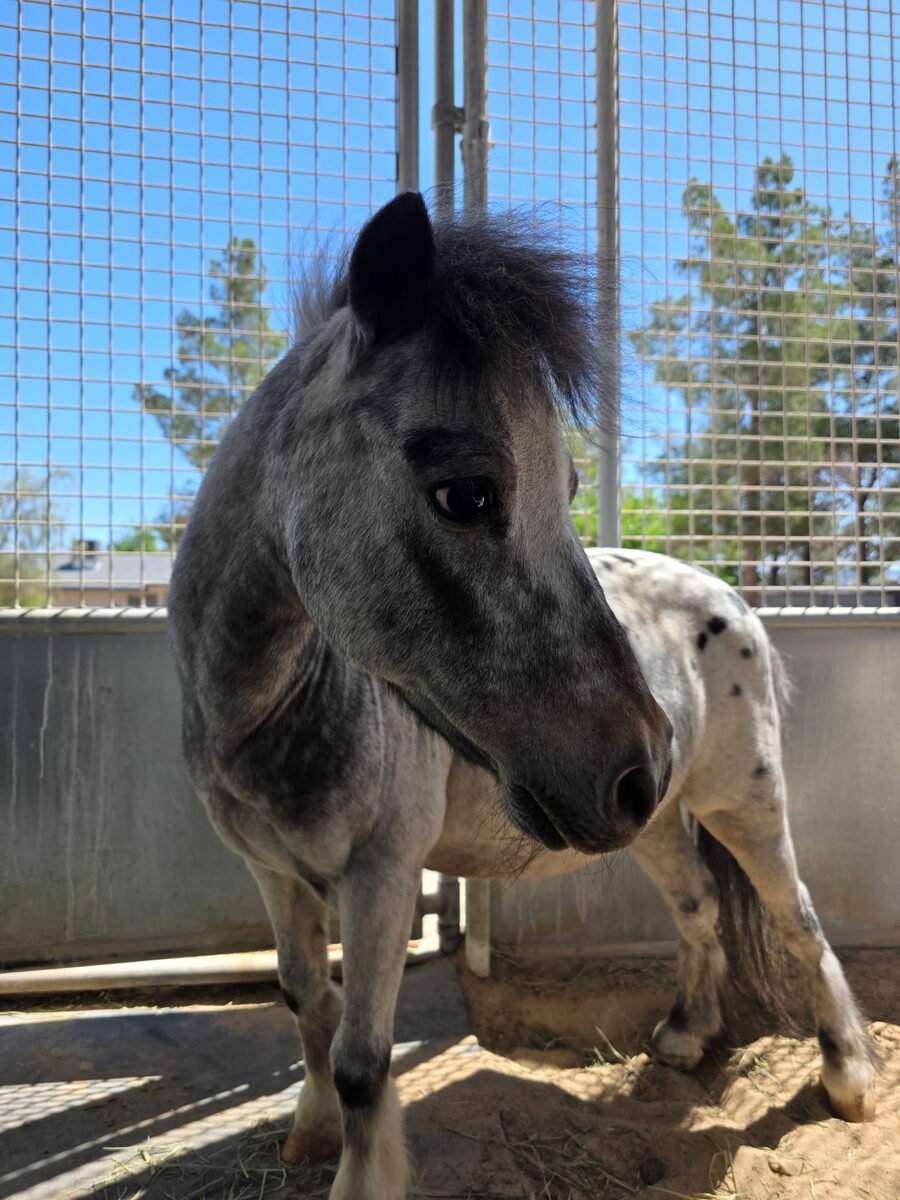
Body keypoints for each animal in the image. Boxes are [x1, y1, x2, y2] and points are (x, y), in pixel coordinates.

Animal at [168, 193, 876, 1200]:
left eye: (571, 486)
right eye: (467, 493)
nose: (637, 761)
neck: (266, 714)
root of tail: (731, 598)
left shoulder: (382, 879)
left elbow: (361, 1059)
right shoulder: (274, 874)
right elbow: (306, 1003)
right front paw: (308, 1133)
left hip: (742, 803)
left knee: (800, 920)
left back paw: (848, 1076)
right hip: (655, 824)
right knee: (698, 906)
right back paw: (684, 1038)